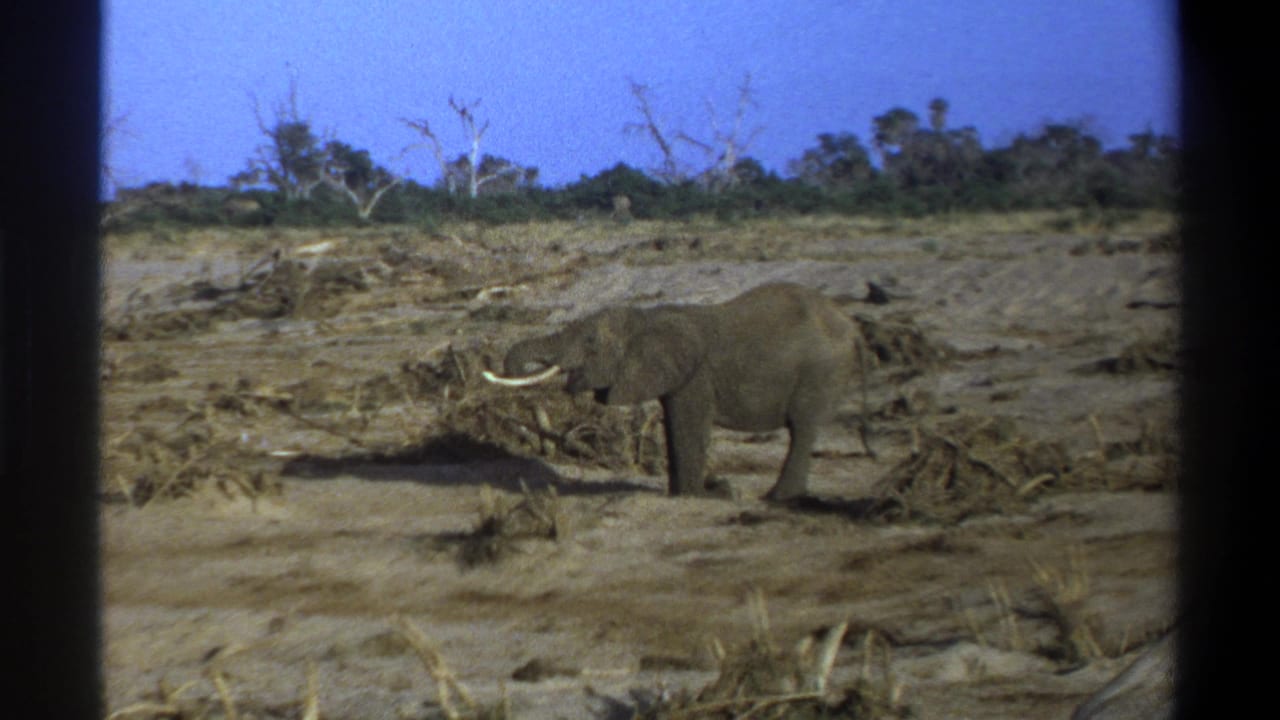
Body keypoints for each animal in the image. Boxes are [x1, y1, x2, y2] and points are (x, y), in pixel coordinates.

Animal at [483, 282, 870, 500]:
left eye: (591, 342)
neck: (646, 317)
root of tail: (851, 326)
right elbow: (673, 425)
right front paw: (688, 493)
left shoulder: (696, 375)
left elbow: (689, 425)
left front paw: (699, 496)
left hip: (820, 371)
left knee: (802, 428)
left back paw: (777, 498)